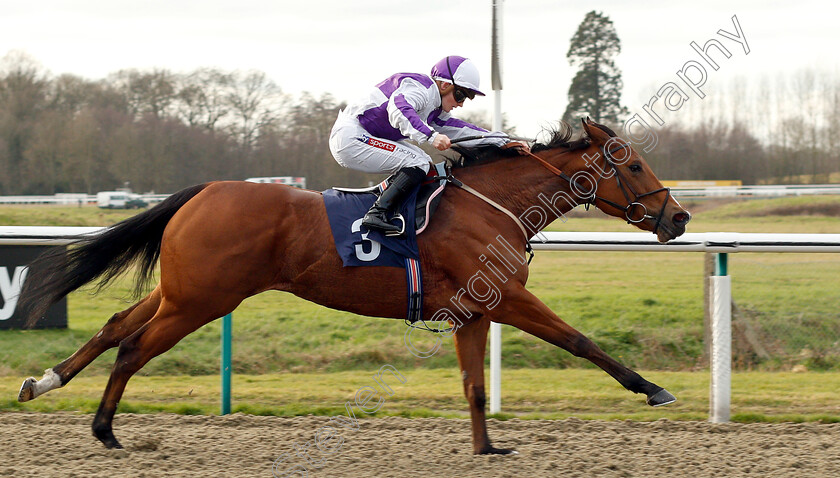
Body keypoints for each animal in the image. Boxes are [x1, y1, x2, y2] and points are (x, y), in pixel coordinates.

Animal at [16, 118, 688, 452]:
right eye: (632, 165)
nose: (678, 217)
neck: (489, 205)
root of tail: (202, 191)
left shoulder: (474, 311)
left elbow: (474, 386)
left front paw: (486, 449)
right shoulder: (507, 298)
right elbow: (580, 341)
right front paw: (653, 389)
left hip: (181, 292)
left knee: (114, 329)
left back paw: (43, 382)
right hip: (202, 301)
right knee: (133, 347)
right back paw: (105, 431)